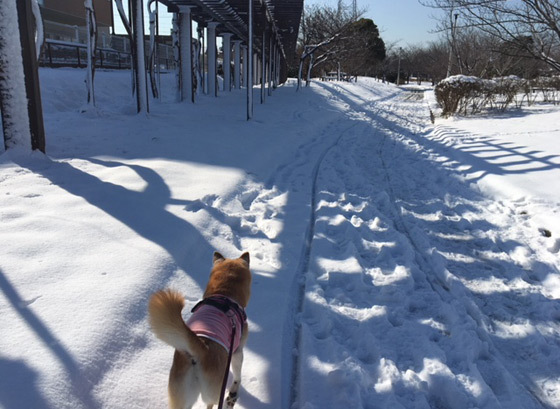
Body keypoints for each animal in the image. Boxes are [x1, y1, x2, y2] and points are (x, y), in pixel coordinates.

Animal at [150, 252, 253, 408]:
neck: (224, 295)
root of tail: (201, 348)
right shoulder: (237, 352)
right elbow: (237, 376)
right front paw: (234, 393)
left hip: (181, 394)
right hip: (214, 391)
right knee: (211, 404)